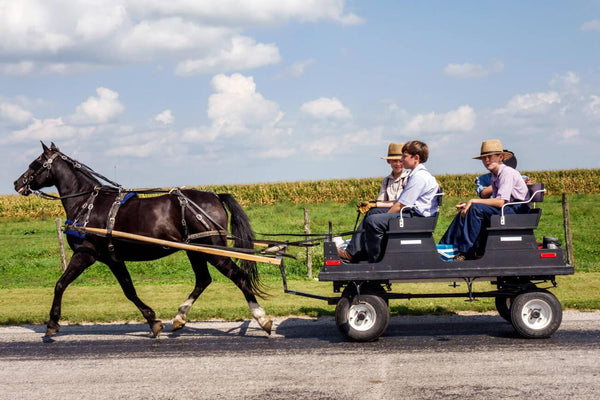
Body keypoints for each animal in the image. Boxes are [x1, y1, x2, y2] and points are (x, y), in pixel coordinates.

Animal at [14, 142, 272, 336]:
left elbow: (60, 284)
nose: (17, 183)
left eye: (35, 164)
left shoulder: (85, 254)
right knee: (203, 280)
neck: (87, 203)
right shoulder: (113, 259)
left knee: (238, 276)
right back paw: (179, 317)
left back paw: (262, 318)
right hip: (195, 250)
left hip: (212, 249)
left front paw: (52, 323)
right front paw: (153, 320)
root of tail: (215, 196)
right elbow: (129, 290)